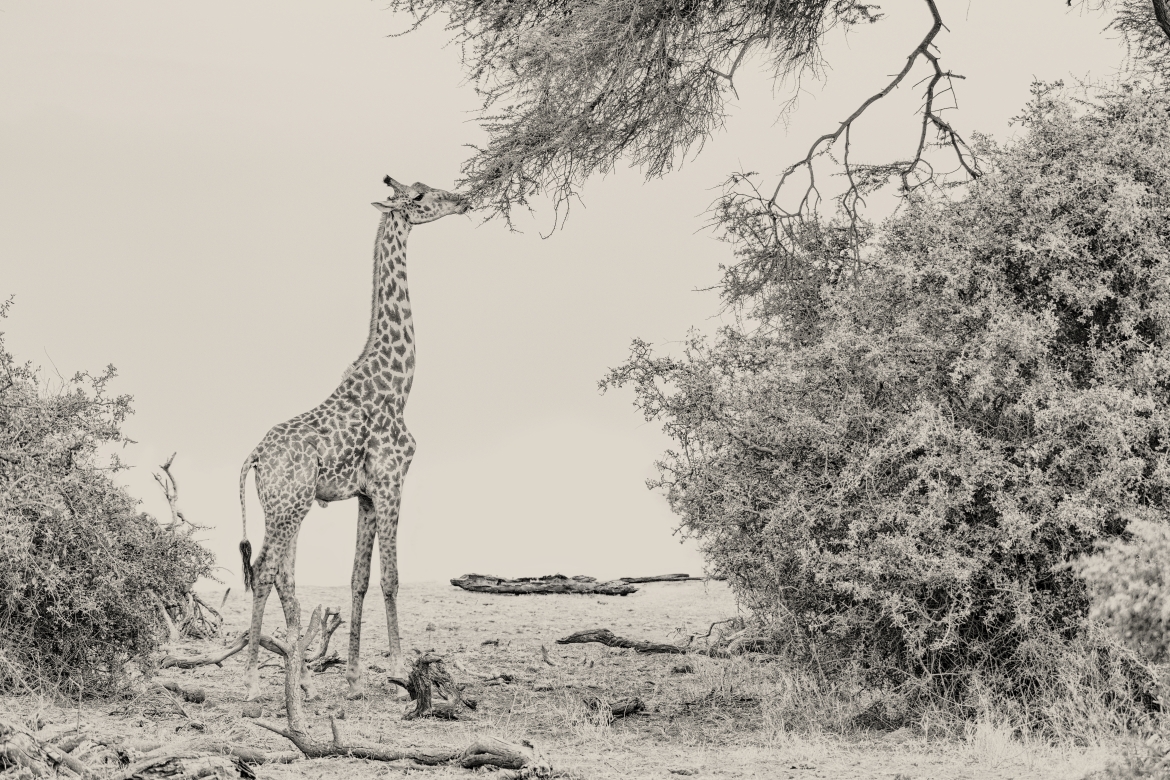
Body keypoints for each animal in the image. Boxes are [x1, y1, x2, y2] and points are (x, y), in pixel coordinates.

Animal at [237, 176, 470, 701]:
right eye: (421, 195)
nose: (464, 199)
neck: (398, 384)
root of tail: (254, 456)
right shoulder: (391, 481)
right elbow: (391, 577)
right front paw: (401, 668)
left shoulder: (365, 494)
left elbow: (358, 579)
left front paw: (354, 676)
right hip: (288, 507)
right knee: (263, 571)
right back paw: (251, 682)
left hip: (284, 507)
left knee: (284, 575)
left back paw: (303, 682)